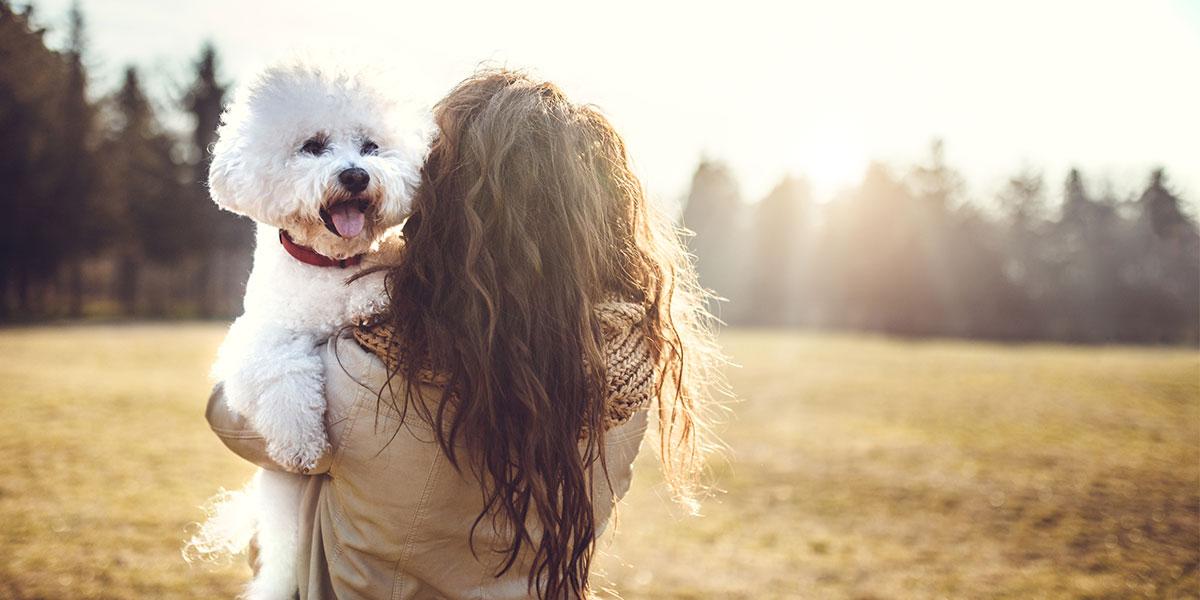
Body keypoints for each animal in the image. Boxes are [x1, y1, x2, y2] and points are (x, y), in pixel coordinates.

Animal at [193, 62, 427, 600]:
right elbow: (281, 373)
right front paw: (301, 444)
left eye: (371, 146)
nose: (356, 174)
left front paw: (371, 296)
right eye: (313, 146)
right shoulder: (254, 344)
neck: (329, 265)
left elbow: (384, 272)